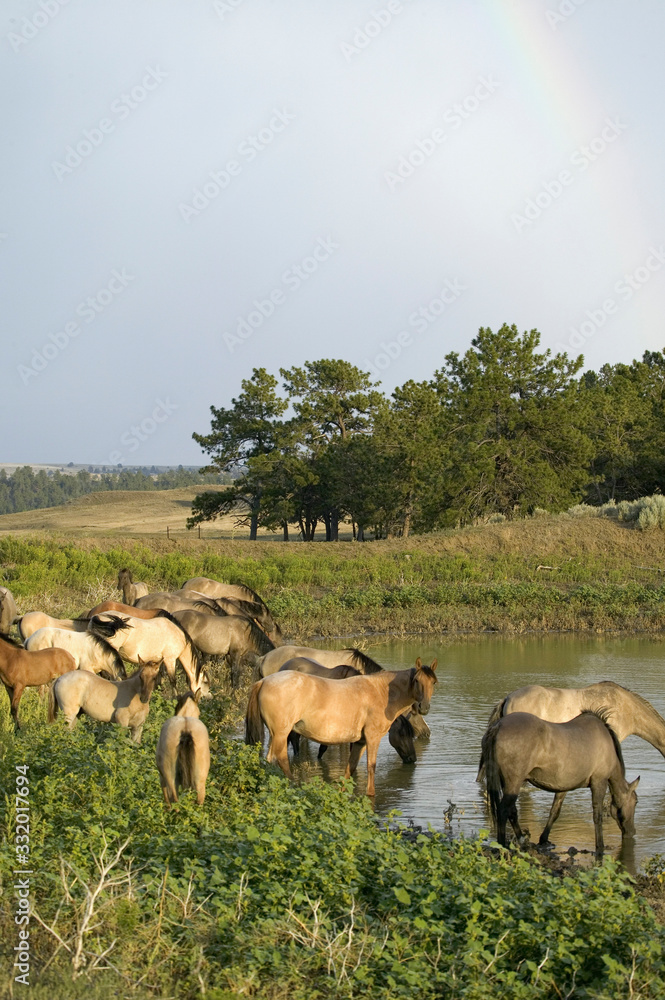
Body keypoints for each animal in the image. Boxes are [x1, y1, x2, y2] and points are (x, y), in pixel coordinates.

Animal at [245, 658, 437, 795]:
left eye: (433, 682)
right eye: (417, 680)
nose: (424, 707)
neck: (381, 692)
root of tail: (264, 681)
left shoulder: (360, 742)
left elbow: (349, 769)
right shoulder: (372, 738)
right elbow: (371, 767)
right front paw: (370, 795)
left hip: (275, 734)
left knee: (269, 760)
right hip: (281, 733)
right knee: (281, 759)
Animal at [483, 710, 640, 856]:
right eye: (636, 801)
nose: (632, 832)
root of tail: (498, 726)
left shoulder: (563, 787)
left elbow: (554, 812)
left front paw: (544, 839)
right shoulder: (599, 783)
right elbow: (597, 816)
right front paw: (600, 846)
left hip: (507, 783)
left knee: (511, 810)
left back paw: (521, 839)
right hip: (514, 782)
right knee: (503, 810)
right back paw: (502, 845)